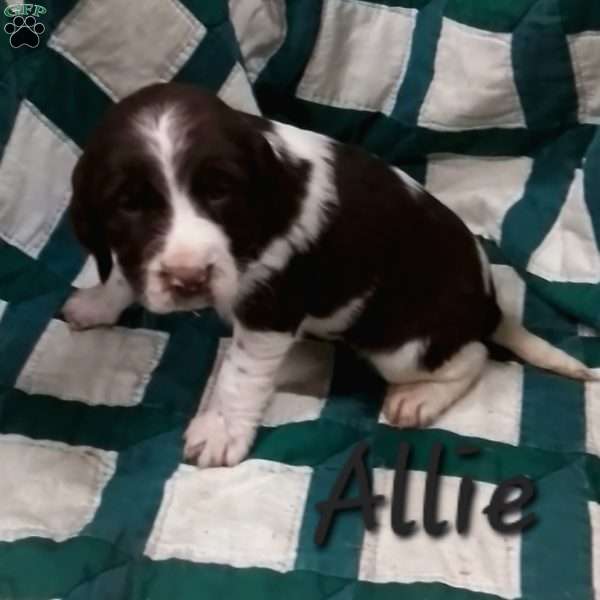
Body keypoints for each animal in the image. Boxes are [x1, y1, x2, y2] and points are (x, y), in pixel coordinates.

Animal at [63, 83, 596, 468]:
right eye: (128, 204)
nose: (189, 279)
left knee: (473, 357)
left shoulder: (271, 305)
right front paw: (98, 302)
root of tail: (488, 303)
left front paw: (223, 429)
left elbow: (240, 375)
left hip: (399, 346)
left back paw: (420, 398)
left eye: (219, 192)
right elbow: (121, 272)